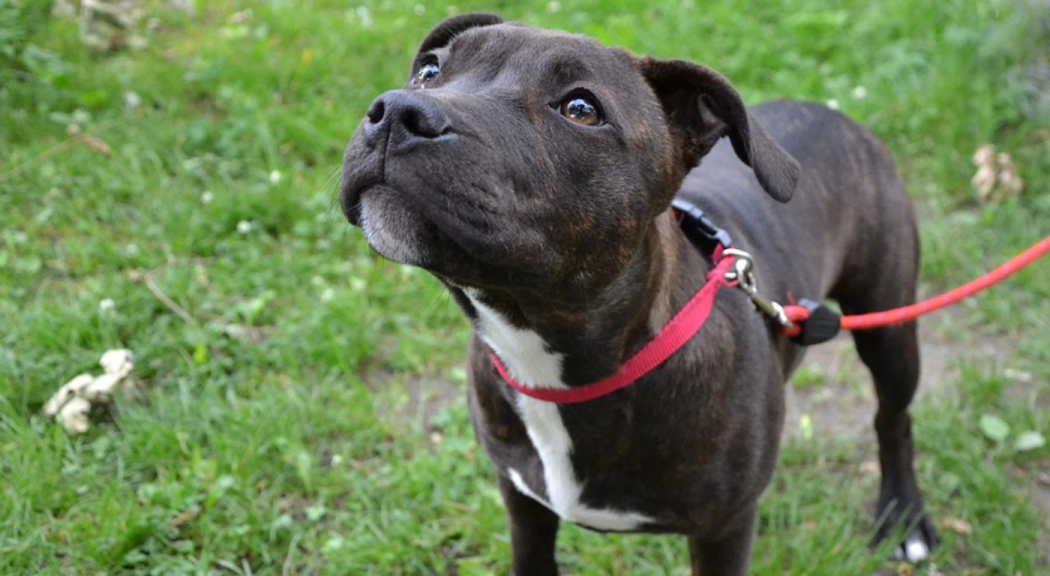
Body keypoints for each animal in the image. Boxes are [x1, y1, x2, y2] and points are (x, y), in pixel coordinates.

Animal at [340, 14, 940, 574]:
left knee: (893, 420)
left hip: (887, 324)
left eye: (581, 109)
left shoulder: (725, 527)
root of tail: (833, 112)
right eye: (430, 70)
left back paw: (904, 518)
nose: (398, 111)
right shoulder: (521, 499)